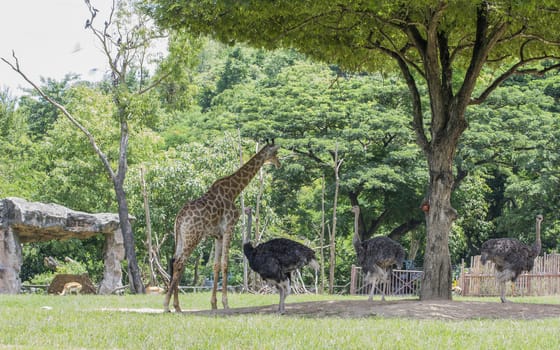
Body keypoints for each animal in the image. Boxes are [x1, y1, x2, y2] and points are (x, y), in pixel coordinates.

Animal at [165, 142, 280, 312]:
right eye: (275, 153)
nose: (279, 164)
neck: (233, 191)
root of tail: (179, 218)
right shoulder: (229, 228)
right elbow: (225, 264)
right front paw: (225, 303)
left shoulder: (217, 235)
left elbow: (216, 265)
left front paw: (214, 304)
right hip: (193, 236)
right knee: (180, 262)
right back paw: (169, 306)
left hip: (180, 237)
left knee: (175, 262)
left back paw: (175, 306)